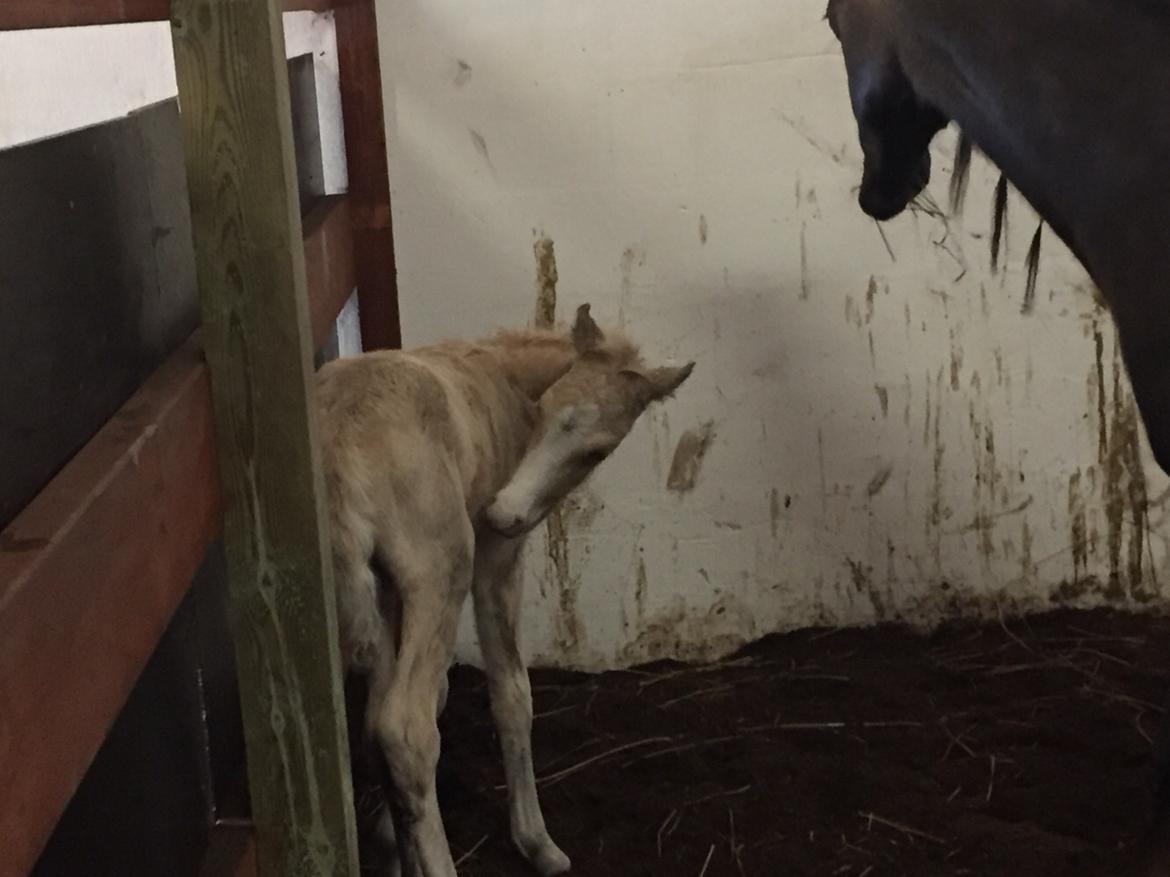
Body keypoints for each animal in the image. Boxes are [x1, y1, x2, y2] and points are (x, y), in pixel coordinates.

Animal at [318, 303, 693, 876]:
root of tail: (340, 445)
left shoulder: (384, 591)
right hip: (443, 569)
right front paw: (536, 841)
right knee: (406, 730)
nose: (505, 511)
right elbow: (512, 692)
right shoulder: (496, 560)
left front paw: (390, 843)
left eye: (596, 451)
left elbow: (386, 709)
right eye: (542, 412)